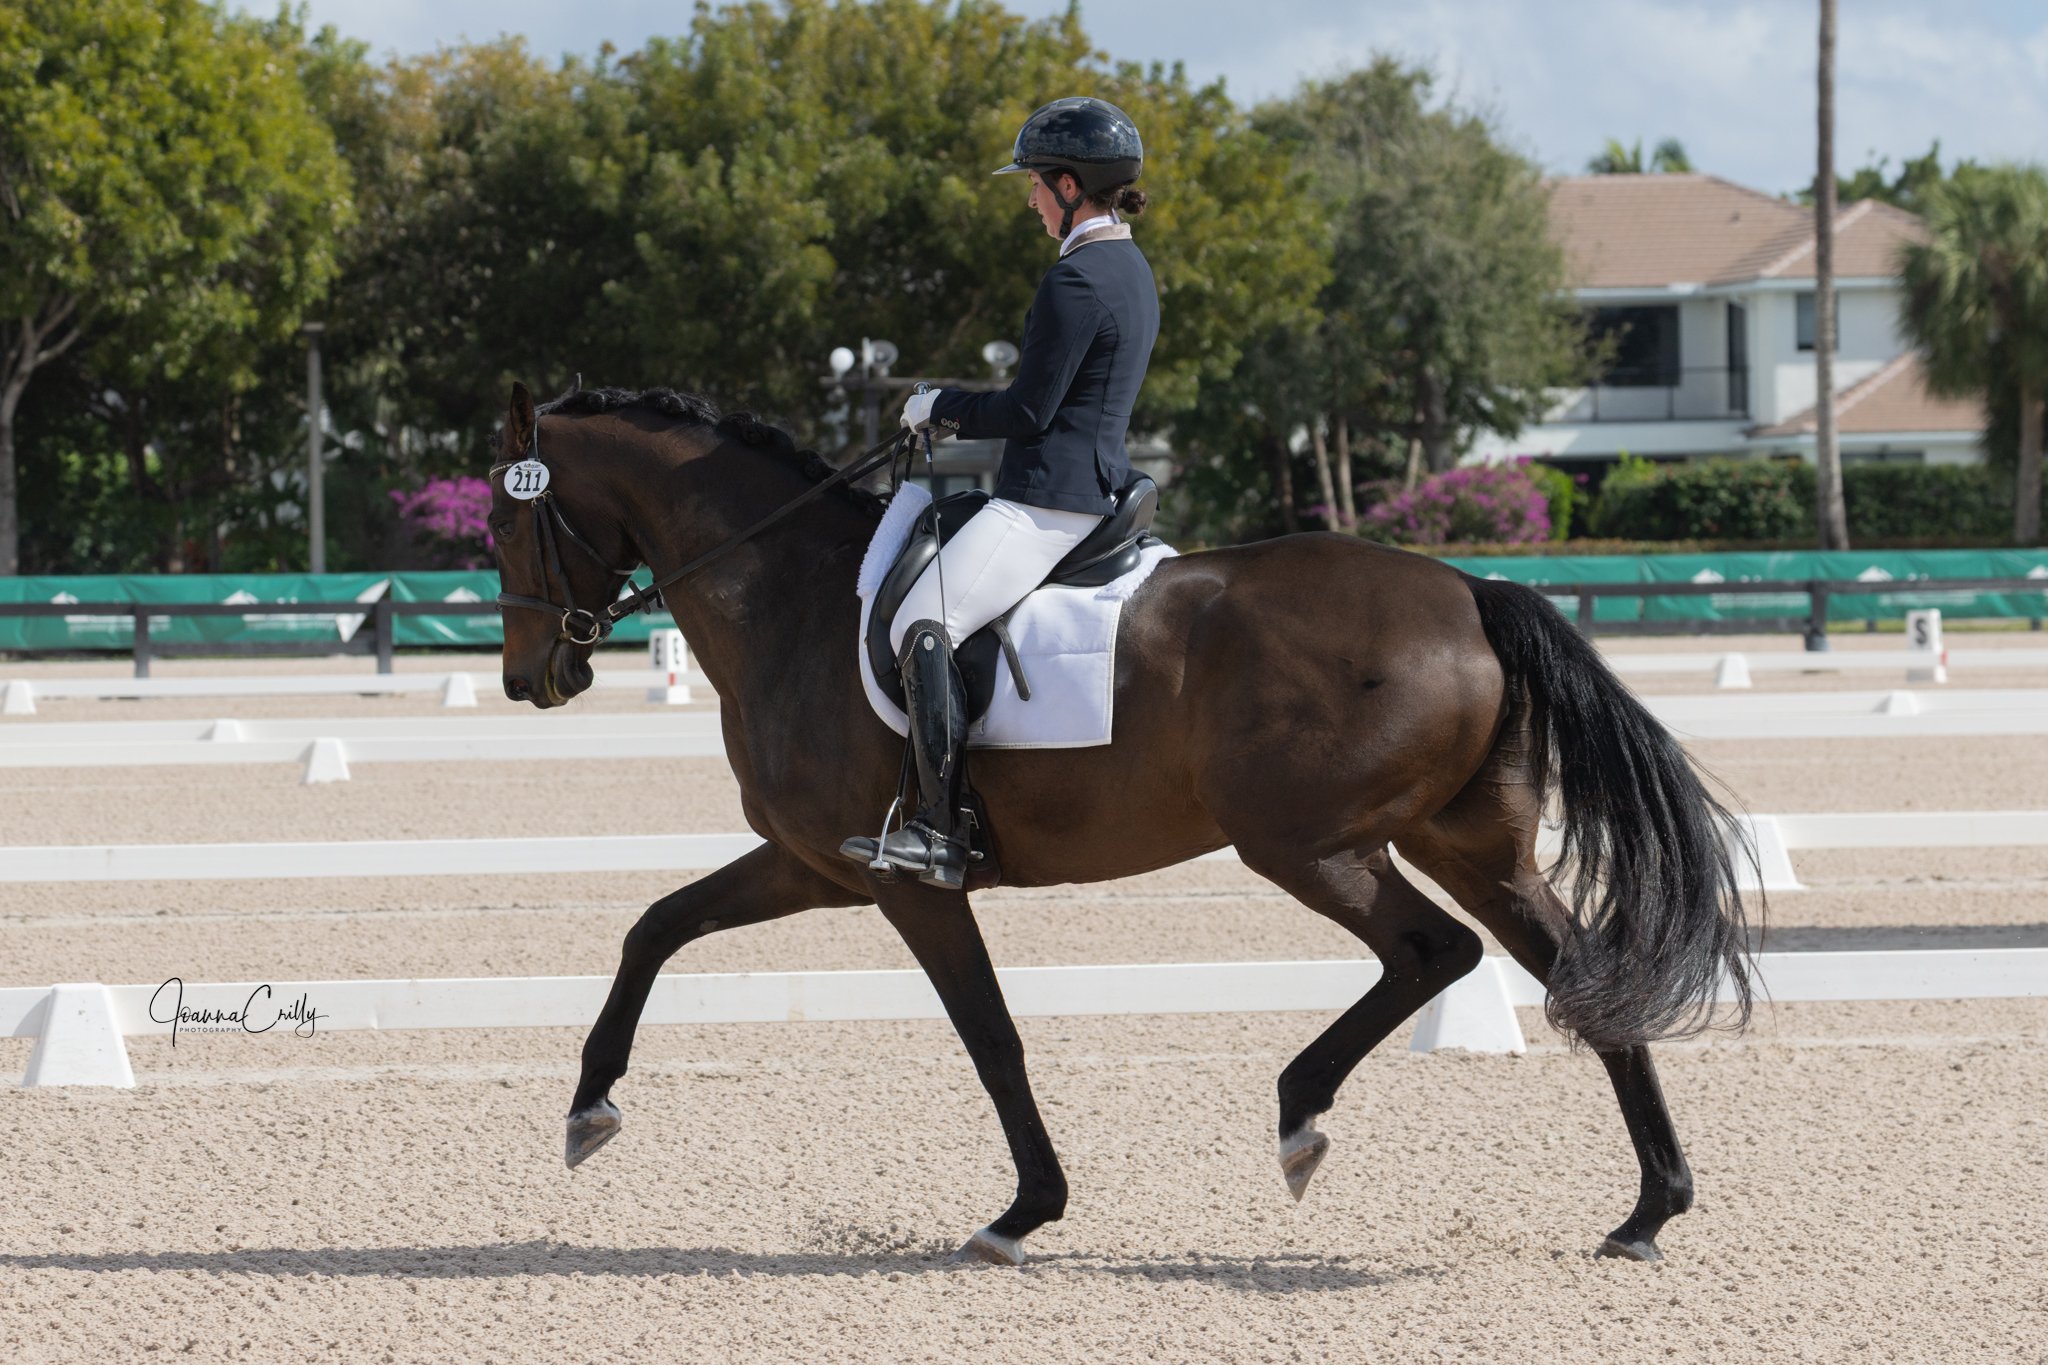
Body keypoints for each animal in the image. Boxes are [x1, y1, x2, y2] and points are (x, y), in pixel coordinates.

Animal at [486, 381, 1755, 1266]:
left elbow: (989, 1036)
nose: (531, 679)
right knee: (1579, 975)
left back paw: (1299, 1116)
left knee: (1432, 951)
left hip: (1306, 845)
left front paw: (1023, 1213)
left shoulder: (904, 880)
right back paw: (1648, 1211)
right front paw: (588, 1108)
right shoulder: (815, 865)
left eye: (505, 528)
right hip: (1467, 845)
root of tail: (1470, 592)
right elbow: (655, 925)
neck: (789, 596)